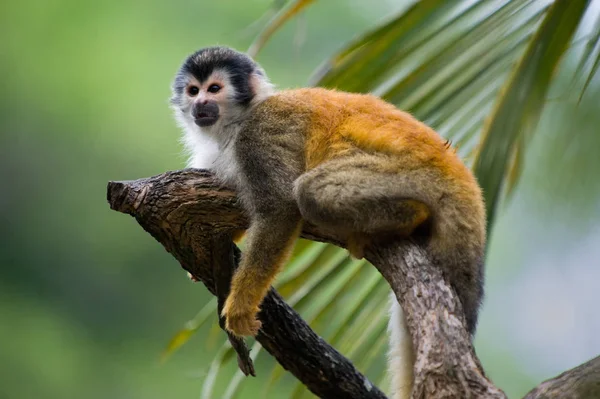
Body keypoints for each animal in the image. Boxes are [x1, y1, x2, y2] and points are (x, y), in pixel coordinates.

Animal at [170, 46, 488, 396]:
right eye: (193, 91)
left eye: (214, 89)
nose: (200, 104)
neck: (238, 121)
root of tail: (460, 175)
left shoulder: (257, 137)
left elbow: (280, 208)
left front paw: (241, 306)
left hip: (413, 173)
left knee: (310, 192)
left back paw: (410, 215)